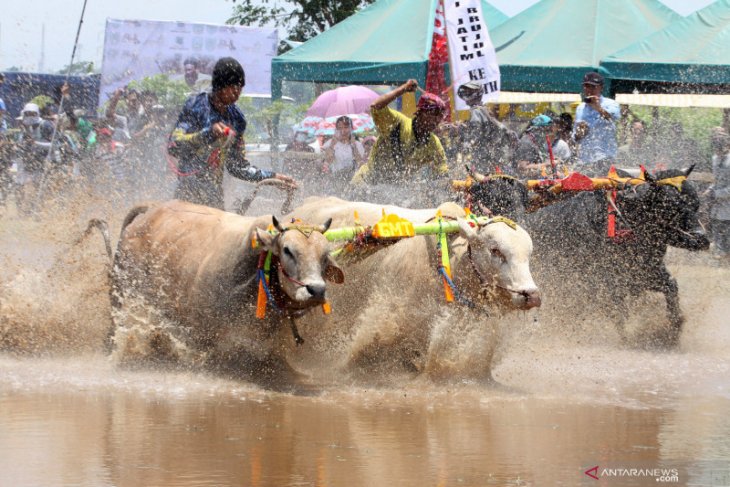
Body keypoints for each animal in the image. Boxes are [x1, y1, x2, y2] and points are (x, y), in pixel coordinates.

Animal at [464, 170, 708, 346]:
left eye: (695, 203)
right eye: (671, 204)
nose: (702, 238)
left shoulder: (647, 273)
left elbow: (671, 287)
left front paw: (674, 329)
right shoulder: (607, 284)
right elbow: (620, 313)